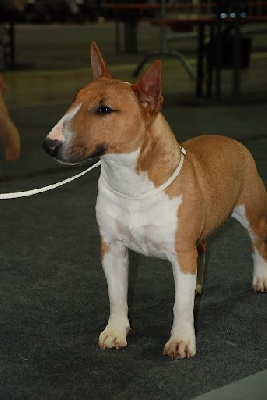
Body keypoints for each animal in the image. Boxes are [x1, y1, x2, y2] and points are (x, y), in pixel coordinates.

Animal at [43, 43, 266, 360]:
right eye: (75, 100)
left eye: (104, 109)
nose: (49, 145)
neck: (130, 185)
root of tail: (232, 140)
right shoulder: (112, 249)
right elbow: (116, 296)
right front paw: (115, 332)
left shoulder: (181, 253)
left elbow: (180, 305)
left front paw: (181, 341)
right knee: (203, 248)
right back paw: (198, 285)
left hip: (252, 213)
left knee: (257, 245)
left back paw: (260, 280)